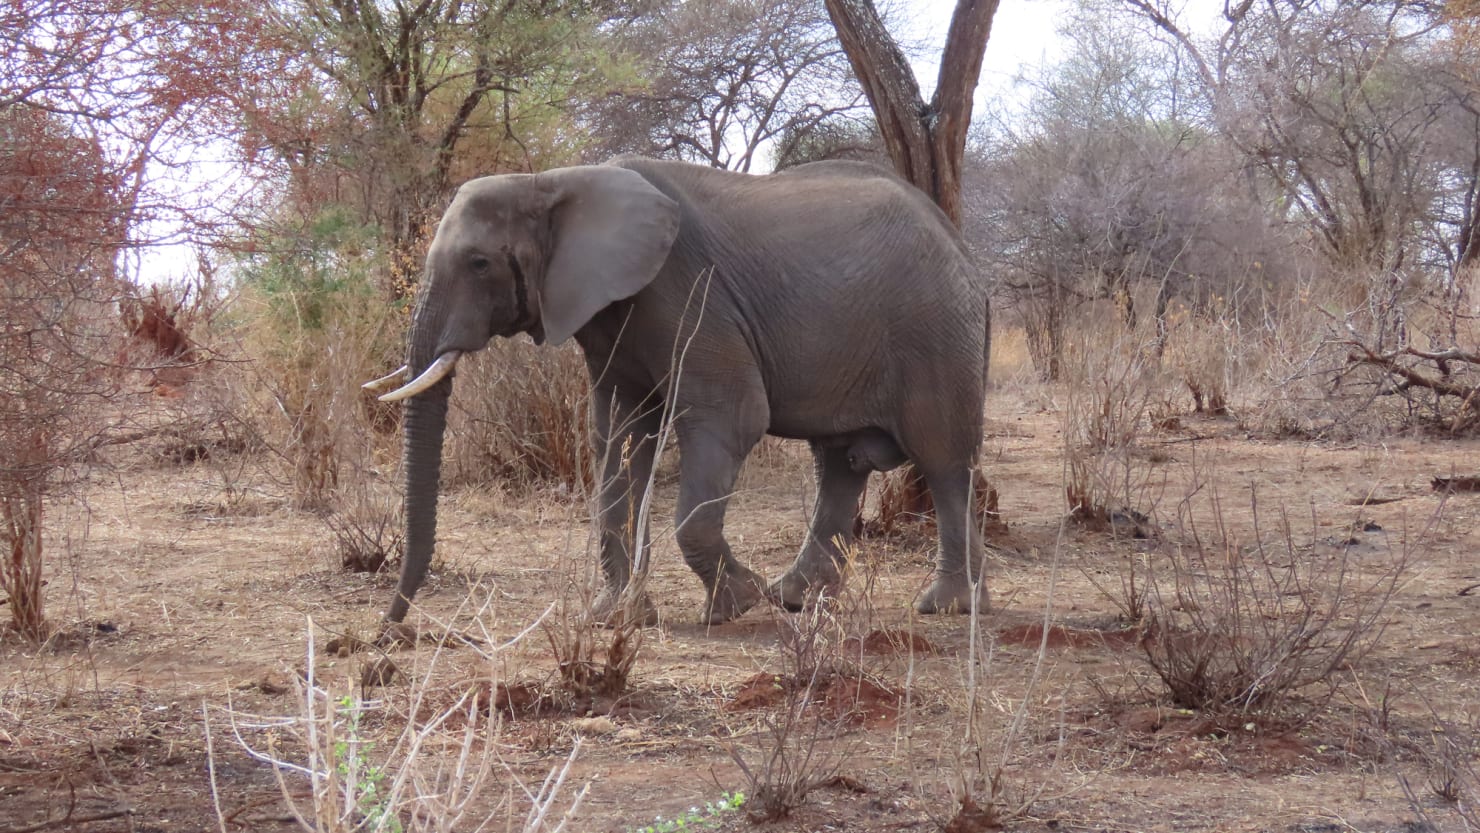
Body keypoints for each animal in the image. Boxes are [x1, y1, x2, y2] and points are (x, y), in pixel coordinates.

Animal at [367, 154, 994, 627]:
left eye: (478, 263)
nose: (391, 628)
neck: (552, 180)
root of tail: (961, 244)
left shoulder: (688, 292)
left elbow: (732, 417)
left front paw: (735, 605)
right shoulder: (611, 316)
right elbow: (617, 438)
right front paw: (617, 617)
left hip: (935, 331)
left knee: (942, 459)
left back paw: (946, 607)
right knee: (840, 463)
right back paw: (795, 599)